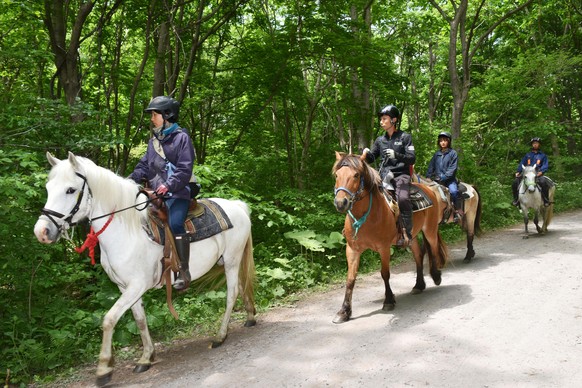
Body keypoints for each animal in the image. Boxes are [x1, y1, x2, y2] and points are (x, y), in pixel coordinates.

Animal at [33, 153, 256, 386]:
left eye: (70, 190)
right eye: (48, 187)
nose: (42, 232)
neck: (126, 230)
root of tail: (237, 205)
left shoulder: (137, 286)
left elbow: (109, 319)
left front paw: (104, 369)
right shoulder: (125, 288)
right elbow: (140, 320)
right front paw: (146, 357)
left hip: (231, 261)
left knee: (231, 294)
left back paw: (220, 336)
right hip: (230, 261)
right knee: (242, 285)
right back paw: (250, 317)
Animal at [330, 152, 450, 324]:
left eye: (356, 175)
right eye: (337, 175)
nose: (341, 203)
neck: (366, 215)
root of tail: (428, 189)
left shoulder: (384, 248)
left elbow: (385, 274)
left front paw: (388, 300)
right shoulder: (352, 249)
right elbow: (350, 279)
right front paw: (344, 311)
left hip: (430, 230)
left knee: (432, 249)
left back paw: (436, 276)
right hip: (412, 237)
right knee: (419, 255)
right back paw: (419, 285)